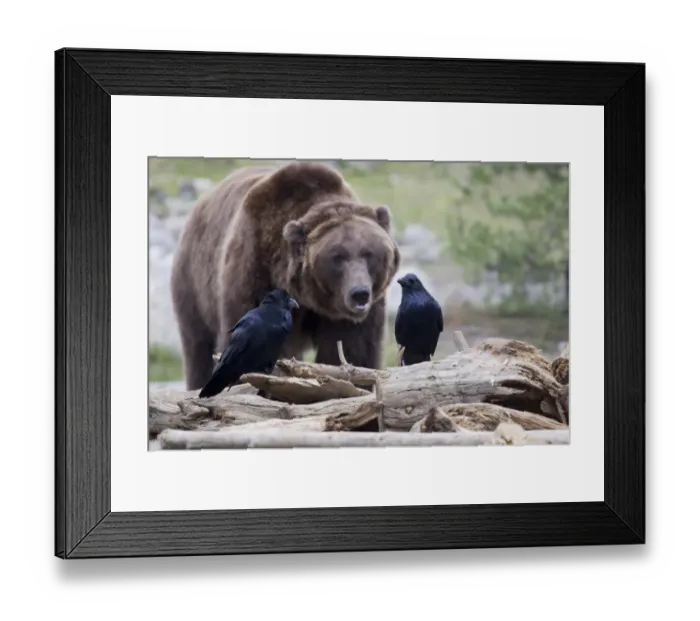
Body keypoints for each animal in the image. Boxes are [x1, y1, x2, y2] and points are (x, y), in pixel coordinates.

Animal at [170, 161, 401, 391]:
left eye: (369, 253)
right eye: (337, 257)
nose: (359, 293)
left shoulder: (349, 317)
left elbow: (350, 350)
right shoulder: (256, 268)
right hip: (194, 284)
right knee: (197, 346)